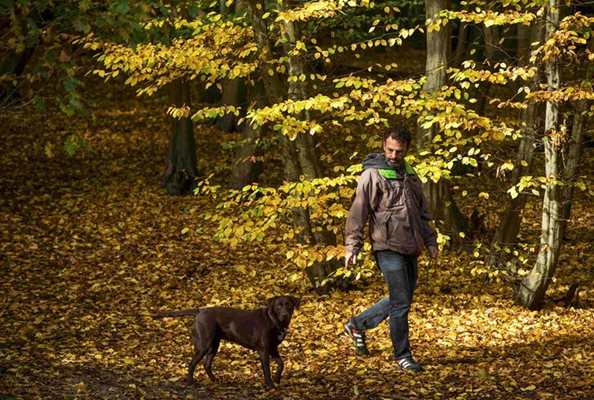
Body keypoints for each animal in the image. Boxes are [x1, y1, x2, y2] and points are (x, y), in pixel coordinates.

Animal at [151, 296, 298, 388]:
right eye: (278, 306)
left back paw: (215, 380)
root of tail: (200, 312)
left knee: (206, 364)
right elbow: (267, 370)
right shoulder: (263, 350)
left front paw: (277, 379)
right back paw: (191, 382)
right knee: (192, 363)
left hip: (214, 345)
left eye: (289, 305)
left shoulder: (273, 348)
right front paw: (270, 385)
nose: (285, 315)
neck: (274, 321)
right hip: (203, 345)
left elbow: (281, 364)